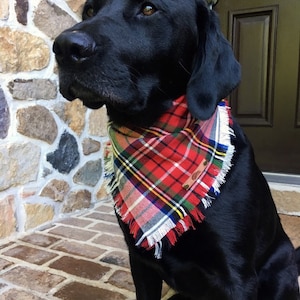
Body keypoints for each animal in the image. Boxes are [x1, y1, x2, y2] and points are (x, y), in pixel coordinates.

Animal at [52, 1, 298, 298]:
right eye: (88, 10)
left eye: (148, 9)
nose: (65, 46)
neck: (153, 132)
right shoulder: (140, 260)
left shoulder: (236, 276)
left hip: (281, 269)